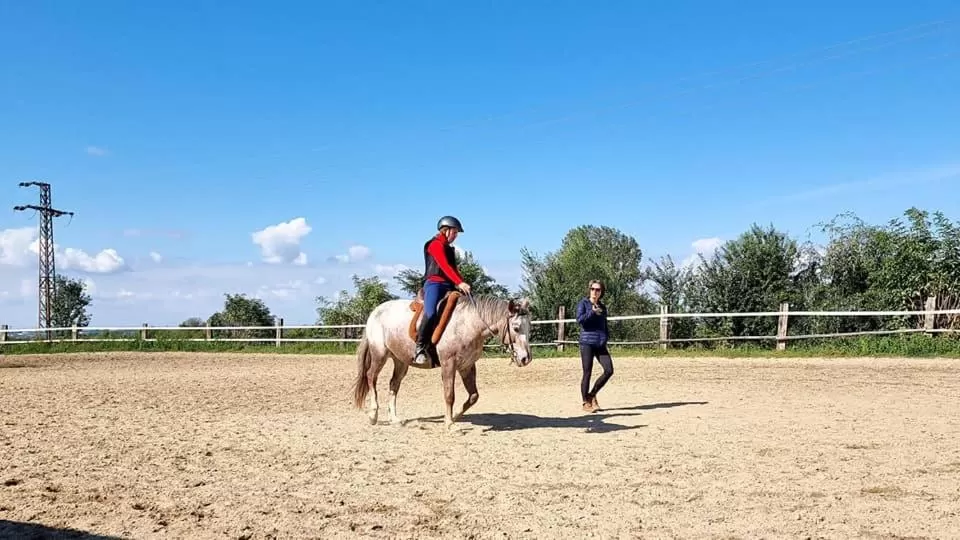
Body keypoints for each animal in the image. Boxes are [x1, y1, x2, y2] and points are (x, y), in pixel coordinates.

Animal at [351, 292, 533, 430]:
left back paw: (395, 419)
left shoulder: (467, 366)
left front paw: (456, 416)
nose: (526, 358)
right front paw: (450, 424)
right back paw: (373, 415)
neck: (467, 324)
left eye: (529, 327)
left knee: (393, 385)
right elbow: (449, 395)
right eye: (516, 328)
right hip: (379, 354)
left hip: (401, 361)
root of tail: (375, 311)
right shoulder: (448, 364)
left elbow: (473, 396)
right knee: (371, 377)